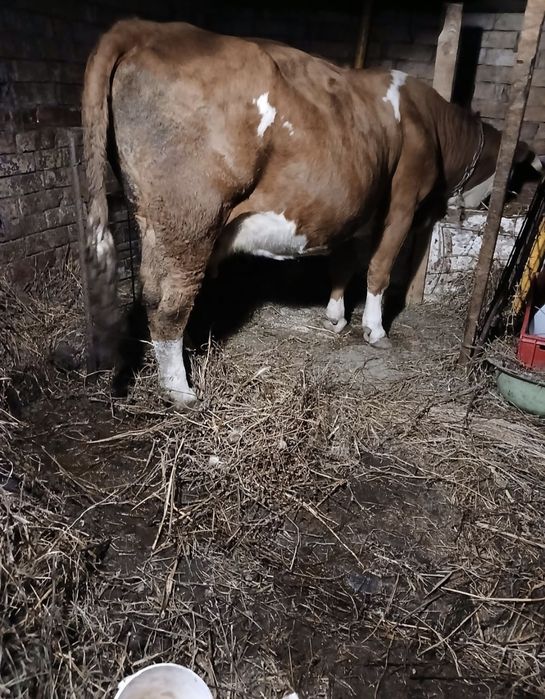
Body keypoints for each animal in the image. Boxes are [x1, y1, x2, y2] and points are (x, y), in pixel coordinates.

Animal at [82, 19, 542, 408]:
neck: (429, 122)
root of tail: (151, 27)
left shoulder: (359, 210)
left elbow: (343, 264)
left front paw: (336, 315)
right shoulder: (402, 202)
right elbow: (379, 269)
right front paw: (374, 330)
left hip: (154, 219)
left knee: (152, 293)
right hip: (190, 220)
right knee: (170, 303)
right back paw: (180, 390)